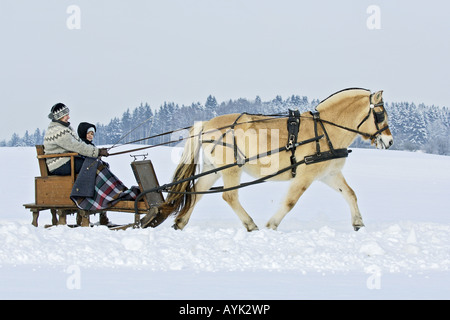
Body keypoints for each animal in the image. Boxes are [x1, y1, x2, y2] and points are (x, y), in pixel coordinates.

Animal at [146, 89, 392, 231]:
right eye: (381, 115)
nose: (389, 141)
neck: (324, 131)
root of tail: (206, 124)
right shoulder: (305, 175)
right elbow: (290, 201)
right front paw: (272, 225)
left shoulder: (329, 173)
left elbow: (350, 193)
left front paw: (358, 223)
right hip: (231, 168)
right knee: (229, 196)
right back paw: (250, 225)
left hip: (213, 169)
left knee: (196, 193)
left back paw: (180, 223)